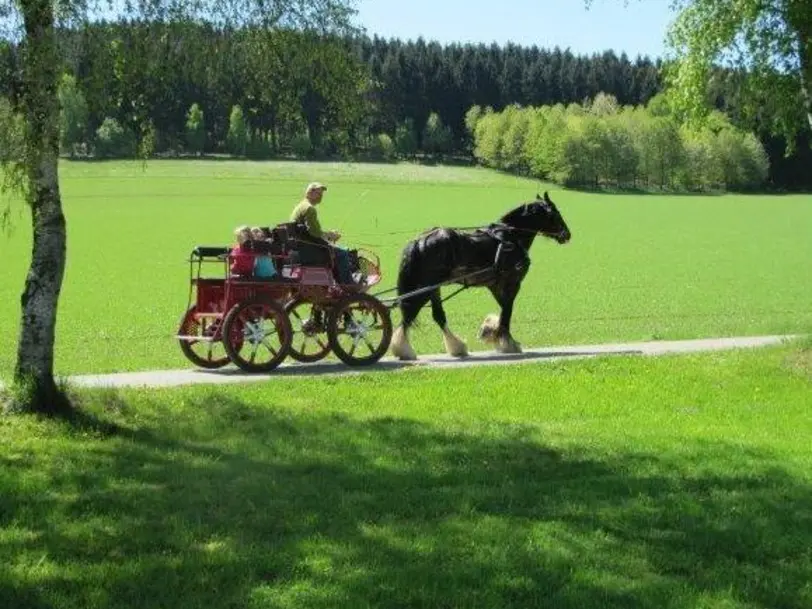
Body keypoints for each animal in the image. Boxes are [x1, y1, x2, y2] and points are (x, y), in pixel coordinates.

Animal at [388, 192, 572, 358]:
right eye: (555, 213)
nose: (567, 234)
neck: (510, 237)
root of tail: (419, 241)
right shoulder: (512, 282)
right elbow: (507, 311)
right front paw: (508, 343)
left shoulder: (495, 285)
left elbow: (503, 310)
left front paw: (490, 330)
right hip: (426, 287)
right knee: (410, 314)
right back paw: (404, 349)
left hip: (434, 288)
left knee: (437, 316)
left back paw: (456, 347)